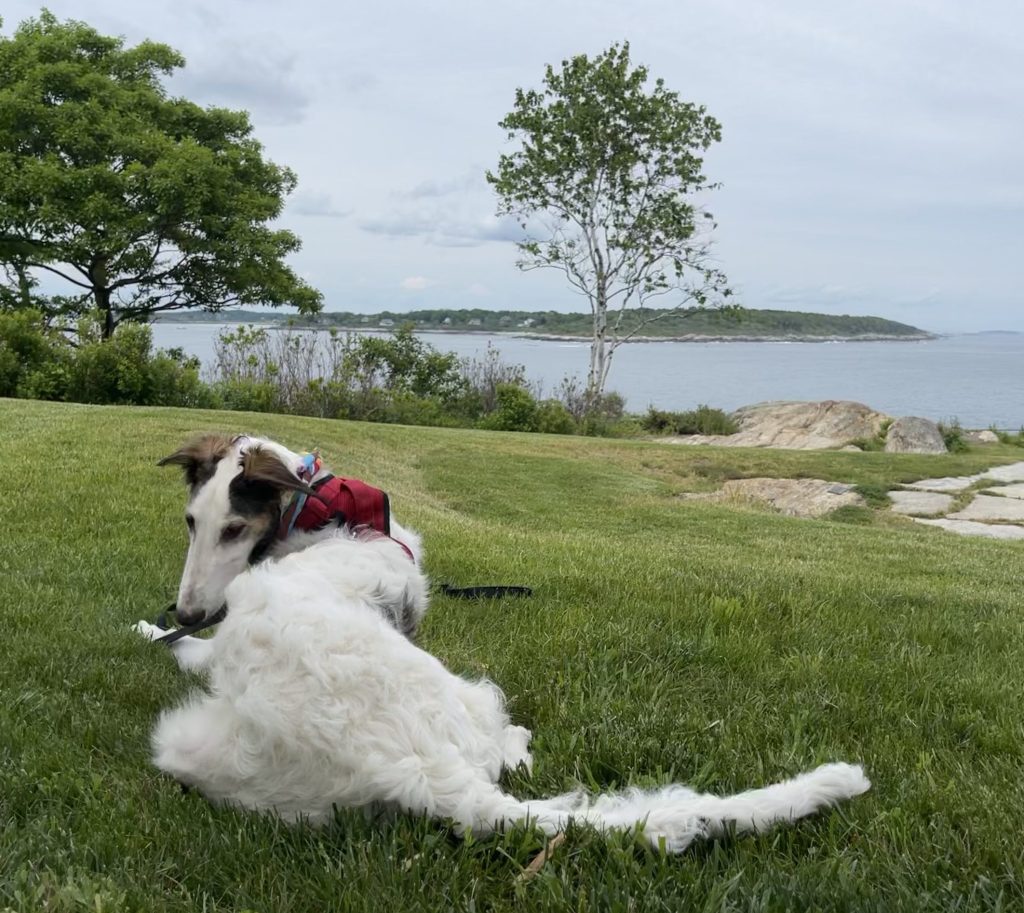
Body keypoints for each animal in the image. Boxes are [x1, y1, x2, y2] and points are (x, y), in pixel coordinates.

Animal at [140, 524, 868, 851]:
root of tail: (429, 776)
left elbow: (189, 649)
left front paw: (153, 629)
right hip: (468, 703)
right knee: (507, 752)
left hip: (186, 743)